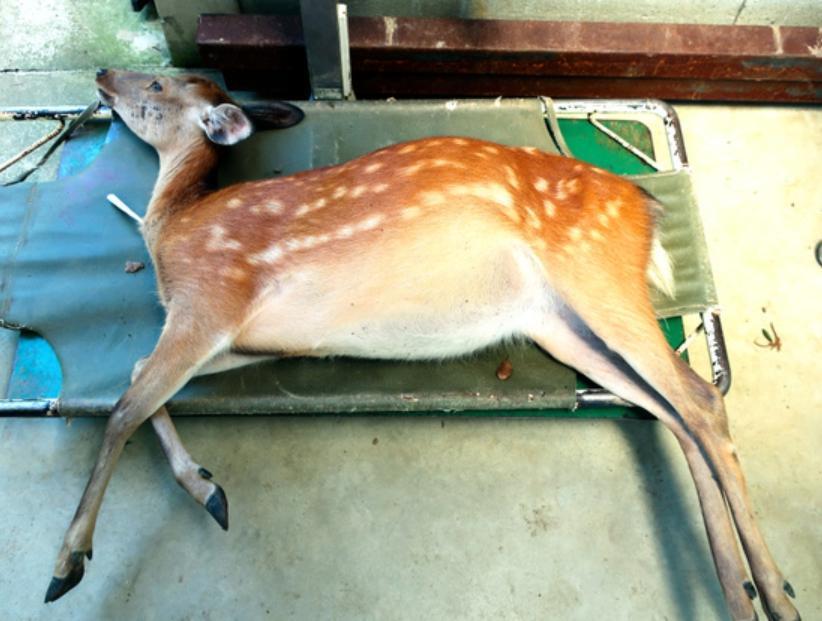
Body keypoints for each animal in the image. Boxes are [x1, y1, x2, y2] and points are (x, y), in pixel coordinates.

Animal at [43, 69, 799, 621]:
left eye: (158, 83)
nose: (102, 75)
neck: (173, 230)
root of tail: (647, 206)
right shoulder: (247, 338)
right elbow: (136, 378)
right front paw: (207, 489)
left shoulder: (210, 298)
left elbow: (122, 407)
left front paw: (68, 561)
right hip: (559, 323)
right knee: (670, 411)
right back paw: (737, 590)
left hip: (594, 269)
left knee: (699, 399)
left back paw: (776, 590)